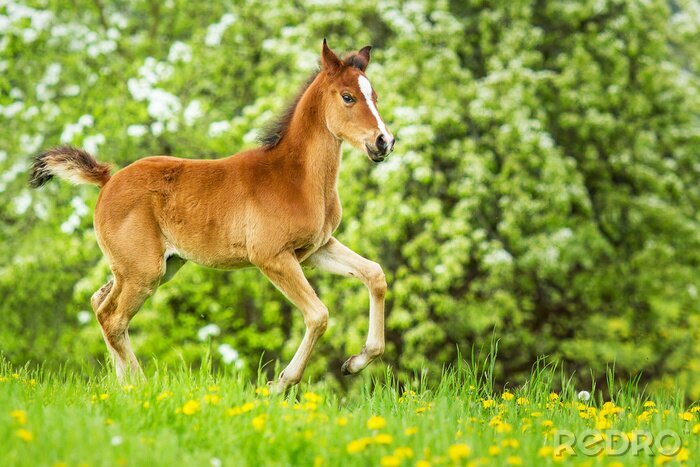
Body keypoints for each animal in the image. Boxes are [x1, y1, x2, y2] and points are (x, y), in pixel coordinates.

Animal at [30, 40, 394, 394]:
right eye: (347, 97)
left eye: (374, 96)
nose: (384, 141)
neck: (296, 177)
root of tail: (107, 180)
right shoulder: (272, 256)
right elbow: (318, 314)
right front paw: (280, 384)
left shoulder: (315, 249)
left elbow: (375, 275)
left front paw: (355, 362)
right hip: (143, 271)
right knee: (113, 318)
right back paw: (140, 387)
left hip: (154, 267)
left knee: (100, 304)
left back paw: (123, 386)